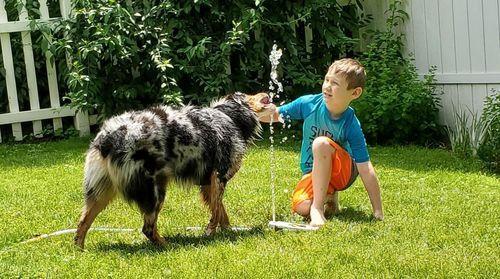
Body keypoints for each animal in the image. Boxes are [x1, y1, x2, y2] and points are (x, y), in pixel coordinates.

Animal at [75, 92, 274, 249]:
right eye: (250, 95)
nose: (267, 93)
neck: (229, 117)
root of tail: (107, 137)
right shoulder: (219, 176)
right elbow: (217, 211)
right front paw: (210, 232)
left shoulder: (208, 182)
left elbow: (221, 211)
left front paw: (227, 232)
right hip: (154, 191)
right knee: (147, 228)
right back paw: (168, 245)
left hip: (100, 193)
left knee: (83, 222)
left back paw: (79, 251)